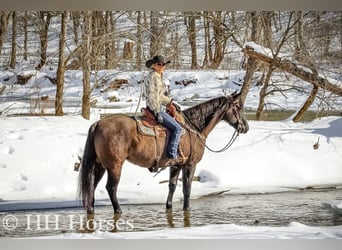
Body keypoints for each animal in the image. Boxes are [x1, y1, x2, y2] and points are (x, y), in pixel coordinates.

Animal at [77, 92, 248, 217]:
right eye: (238, 107)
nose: (245, 127)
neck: (194, 128)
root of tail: (98, 123)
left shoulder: (176, 165)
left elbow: (172, 186)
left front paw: (169, 207)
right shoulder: (190, 164)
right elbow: (187, 189)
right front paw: (187, 209)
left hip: (100, 165)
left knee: (92, 185)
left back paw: (91, 210)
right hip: (114, 166)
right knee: (111, 188)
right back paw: (118, 210)